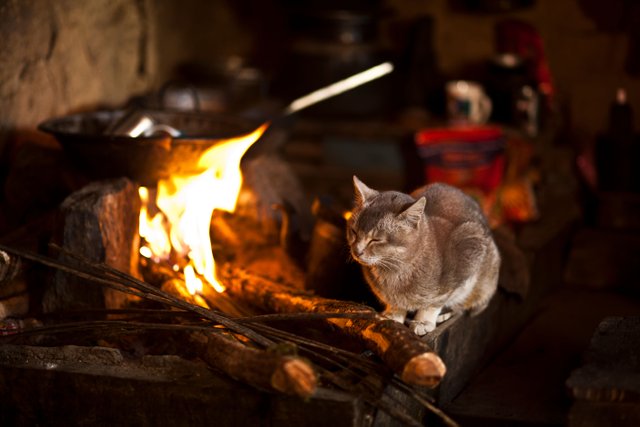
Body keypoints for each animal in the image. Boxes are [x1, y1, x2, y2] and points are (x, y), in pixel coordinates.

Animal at [344, 176, 500, 336]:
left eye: (376, 240)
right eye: (353, 231)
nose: (357, 251)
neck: (394, 270)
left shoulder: (464, 261)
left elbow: (434, 304)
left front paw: (423, 321)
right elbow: (396, 305)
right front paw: (393, 316)